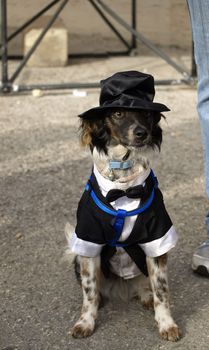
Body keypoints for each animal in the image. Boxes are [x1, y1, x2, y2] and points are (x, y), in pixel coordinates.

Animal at [67, 71, 181, 342]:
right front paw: (86, 322)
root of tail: (122, 285)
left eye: (146, 114)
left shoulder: (157, 239)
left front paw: (166, 323)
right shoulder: (88, 240)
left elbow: (162, 290)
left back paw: (145, 295)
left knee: (146, 286)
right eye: (118, 113)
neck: (123, 187)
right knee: (96, 289)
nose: (141, 133)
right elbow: (88, 292)